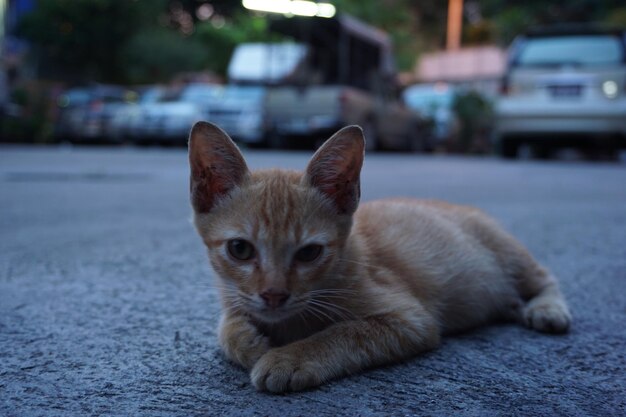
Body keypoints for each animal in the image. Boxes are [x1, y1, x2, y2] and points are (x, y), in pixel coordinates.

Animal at [186, 121, 572, 394]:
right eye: (240, 249)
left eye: (310, 253)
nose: (274, 295)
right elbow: (227, 325)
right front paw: (247, 341)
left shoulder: (411, 320)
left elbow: (345, 332)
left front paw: (290, 357)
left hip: (508, 253)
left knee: (544, 275)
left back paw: (547, 308)